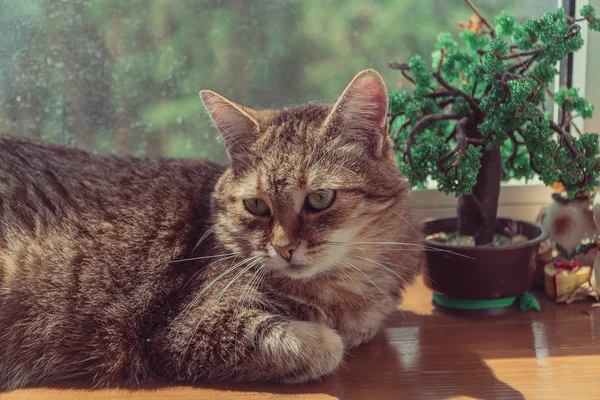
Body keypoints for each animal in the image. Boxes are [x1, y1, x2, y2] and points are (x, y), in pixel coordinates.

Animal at [0, 69, 422, 390]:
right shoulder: (188, 329)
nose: (284, 248)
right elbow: (324, 346)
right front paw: (328, 334)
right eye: (256, 205)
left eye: (319, 199)